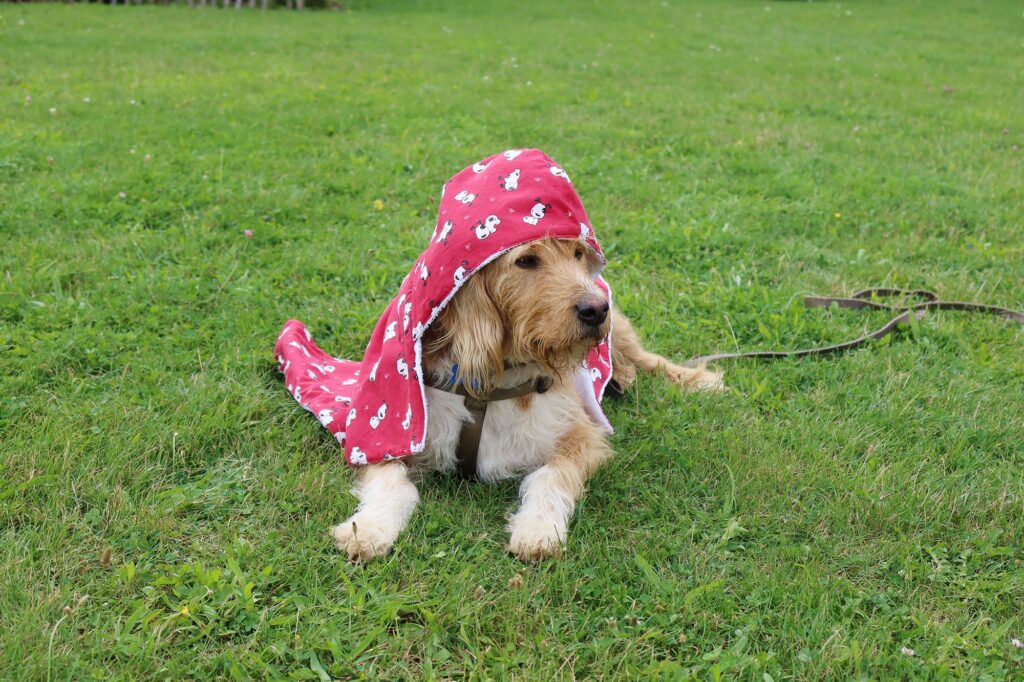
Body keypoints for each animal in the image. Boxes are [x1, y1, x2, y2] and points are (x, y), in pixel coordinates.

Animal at [331, 236, 724, 561]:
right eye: (526, 261)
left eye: (578, 254)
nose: (596, 310)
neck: (495, 379)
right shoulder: (384, 433)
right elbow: (393, 483)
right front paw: (368, 529)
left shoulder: (583, 436)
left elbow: (549, 477)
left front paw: (537, 529)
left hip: (620, 328)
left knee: (647, 358)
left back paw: (699, 380)